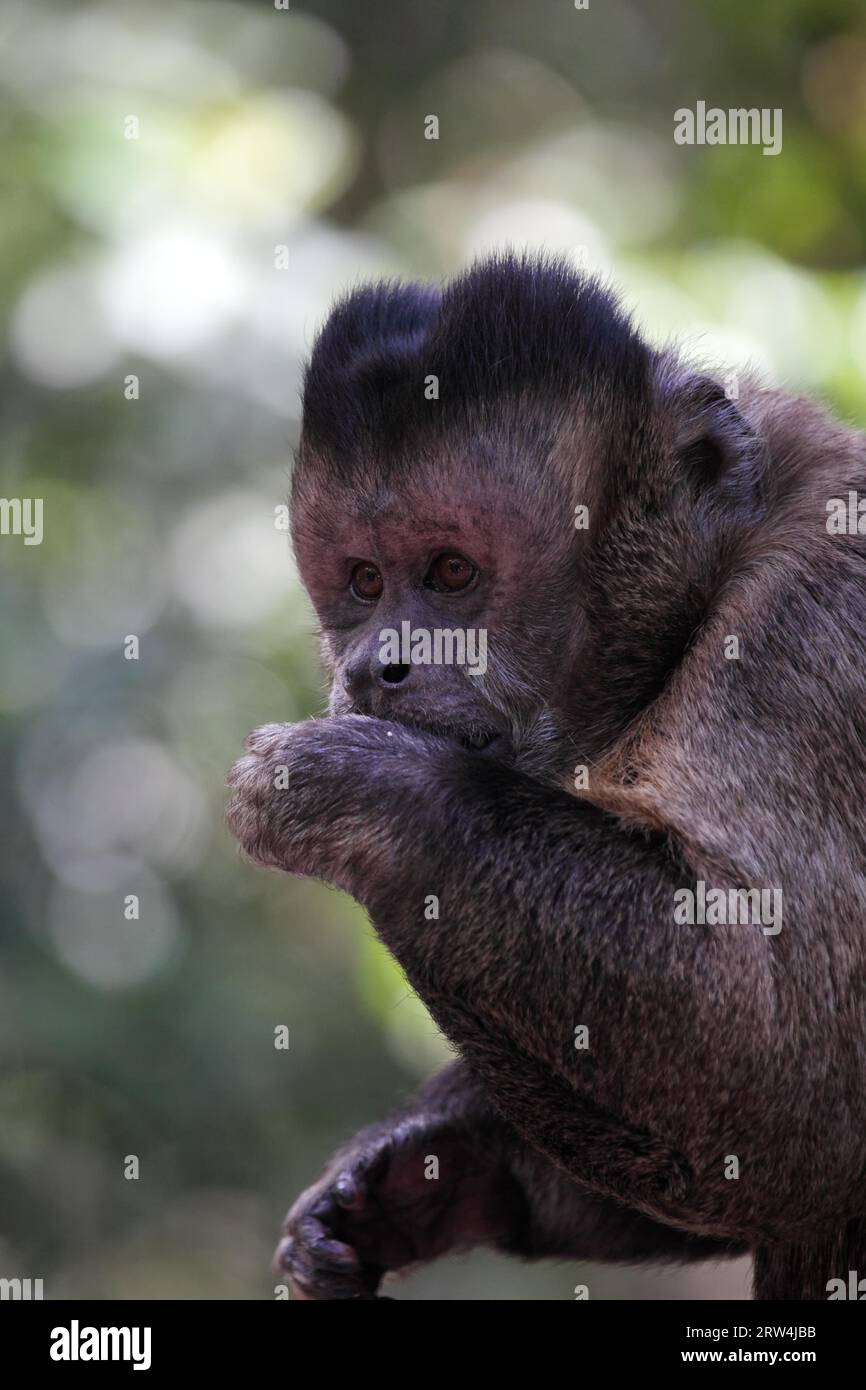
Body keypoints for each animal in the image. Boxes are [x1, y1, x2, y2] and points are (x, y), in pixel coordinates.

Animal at [226, 252, 866, 1301]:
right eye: (364, 582)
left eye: (451, 573)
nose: (372, 668)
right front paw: (428, 1171)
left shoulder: (813, 620)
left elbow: (799, 1104)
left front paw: (365, 791)